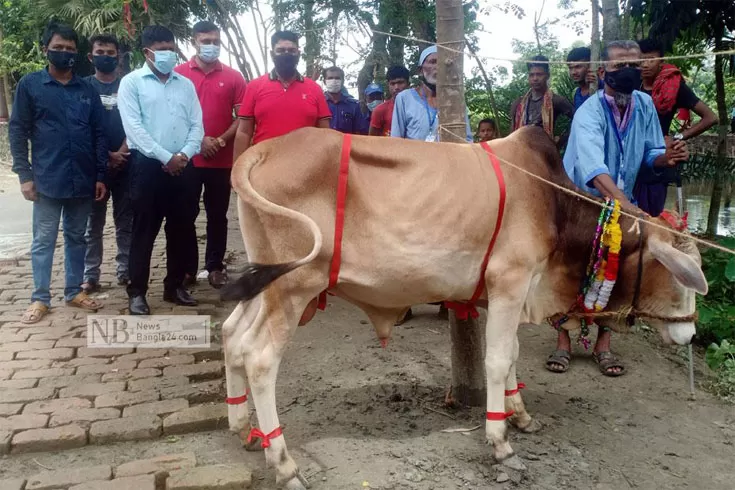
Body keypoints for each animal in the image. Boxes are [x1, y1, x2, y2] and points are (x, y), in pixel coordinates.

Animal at [220, 125, 708, 486]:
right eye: (682, 277)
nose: (689, 333)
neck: (553, 202)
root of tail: (262, 150)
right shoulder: (511, 282)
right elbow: (497, 360)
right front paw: (500, 442)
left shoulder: (507, 292)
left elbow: (512, 355)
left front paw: (521, 416)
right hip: (293, 287)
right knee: (260, 358)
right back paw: (283, 464)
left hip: (263, 283)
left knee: (232, 335)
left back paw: (244, 430)